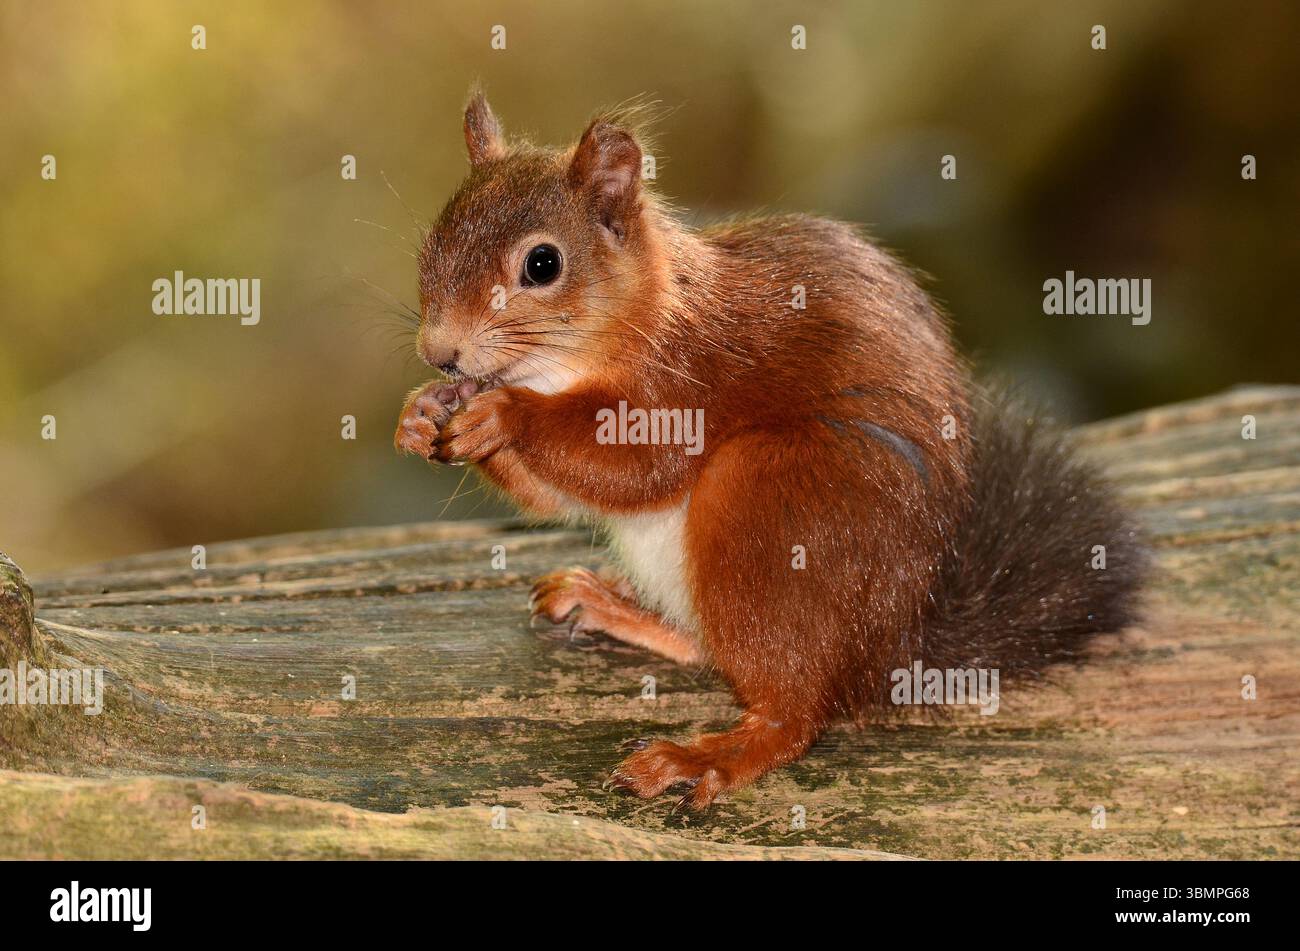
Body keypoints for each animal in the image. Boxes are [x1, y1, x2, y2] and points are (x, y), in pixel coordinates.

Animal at [394, 91, 1145, 810]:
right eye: (432, 240)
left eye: (542, 264)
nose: (439, 351)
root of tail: (889, 650)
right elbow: (557, 494)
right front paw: (420, 415)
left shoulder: (689, 381)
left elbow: (638, 465)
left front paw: (505, 413)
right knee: (707, 648)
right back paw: (608, 605)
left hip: (770, 497)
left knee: (792, 715)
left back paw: (707, 754)